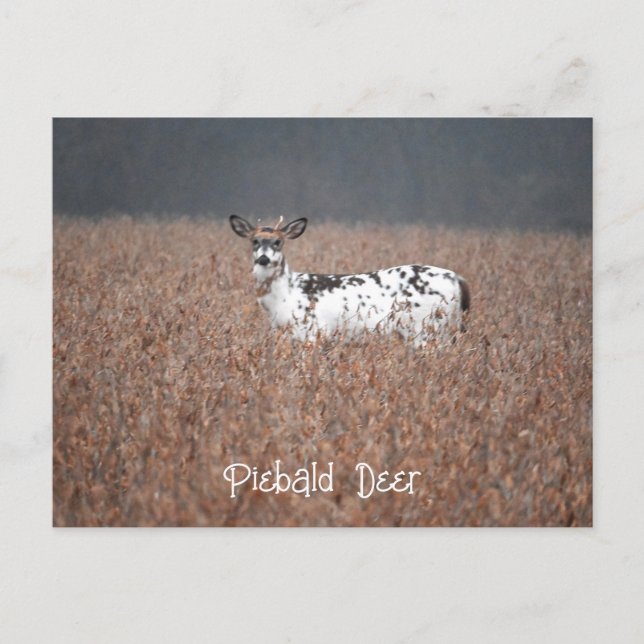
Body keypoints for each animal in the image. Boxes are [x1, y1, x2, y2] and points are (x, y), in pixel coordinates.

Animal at [229, 215, 469, 346]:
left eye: (278, 242)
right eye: (254, 241)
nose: (263, 258)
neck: (285, 297)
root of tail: (456, 278)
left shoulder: (312, 331)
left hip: (426, 326)